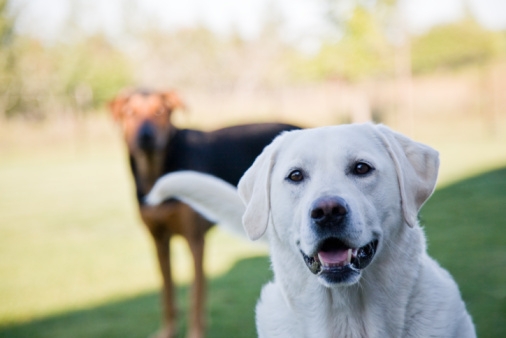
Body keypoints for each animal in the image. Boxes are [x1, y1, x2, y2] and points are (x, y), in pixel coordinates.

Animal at [108, 89, 298, 338]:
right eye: (130, 112)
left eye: (160, 111)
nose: (146, 136)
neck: (155, 170)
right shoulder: (159, 241)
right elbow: (167, 292)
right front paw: (168, 331)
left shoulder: (195, 241)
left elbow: (195, 295)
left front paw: (195, 332)